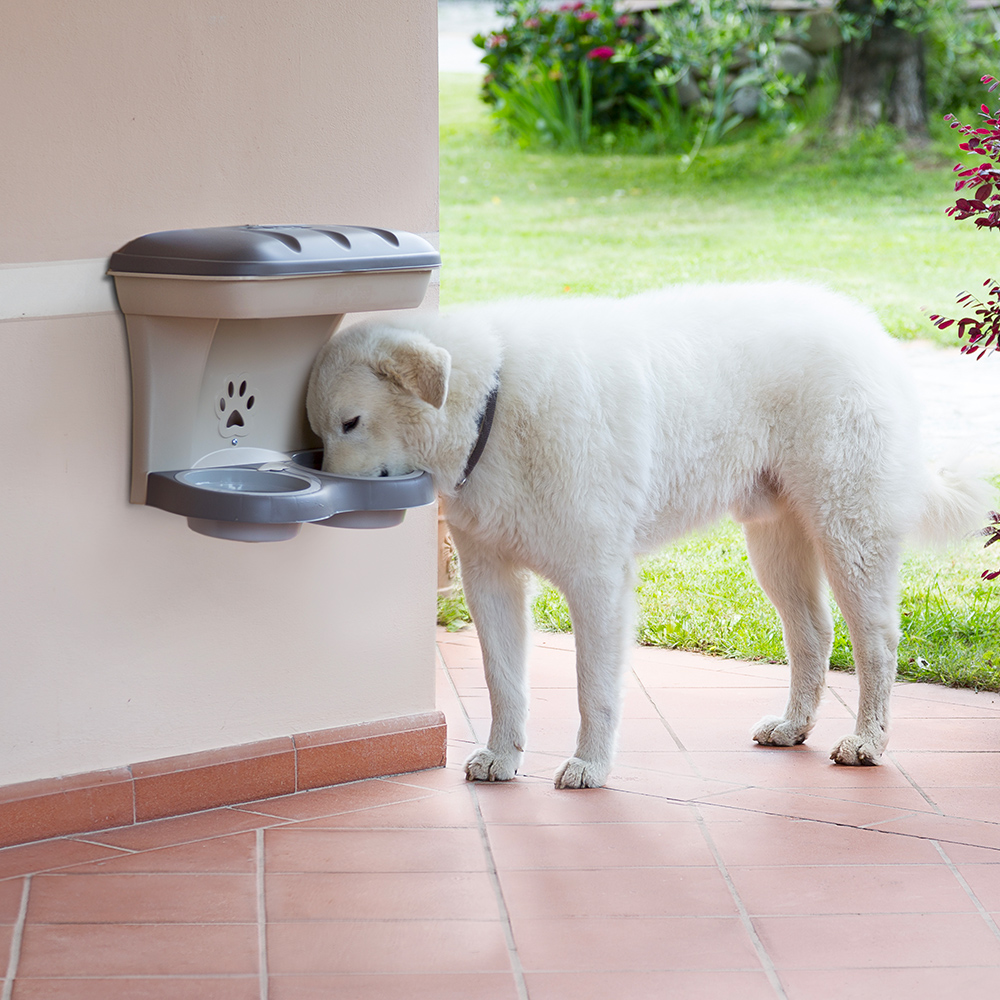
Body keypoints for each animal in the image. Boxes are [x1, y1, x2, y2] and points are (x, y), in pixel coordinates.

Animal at [304, 282, 984, 788]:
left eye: (351, 422)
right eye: (320, 430)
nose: (329, 500)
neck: (490, 406)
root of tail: (867, 329)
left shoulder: (597, 581)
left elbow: (593, 688)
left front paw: (589, 765)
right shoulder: (490, 578)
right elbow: (504, 681)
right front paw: (503, 755)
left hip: (849, 533)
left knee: (877, 641)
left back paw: (867, 740)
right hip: (774, 542)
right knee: (813, 633)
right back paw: (794, 726)